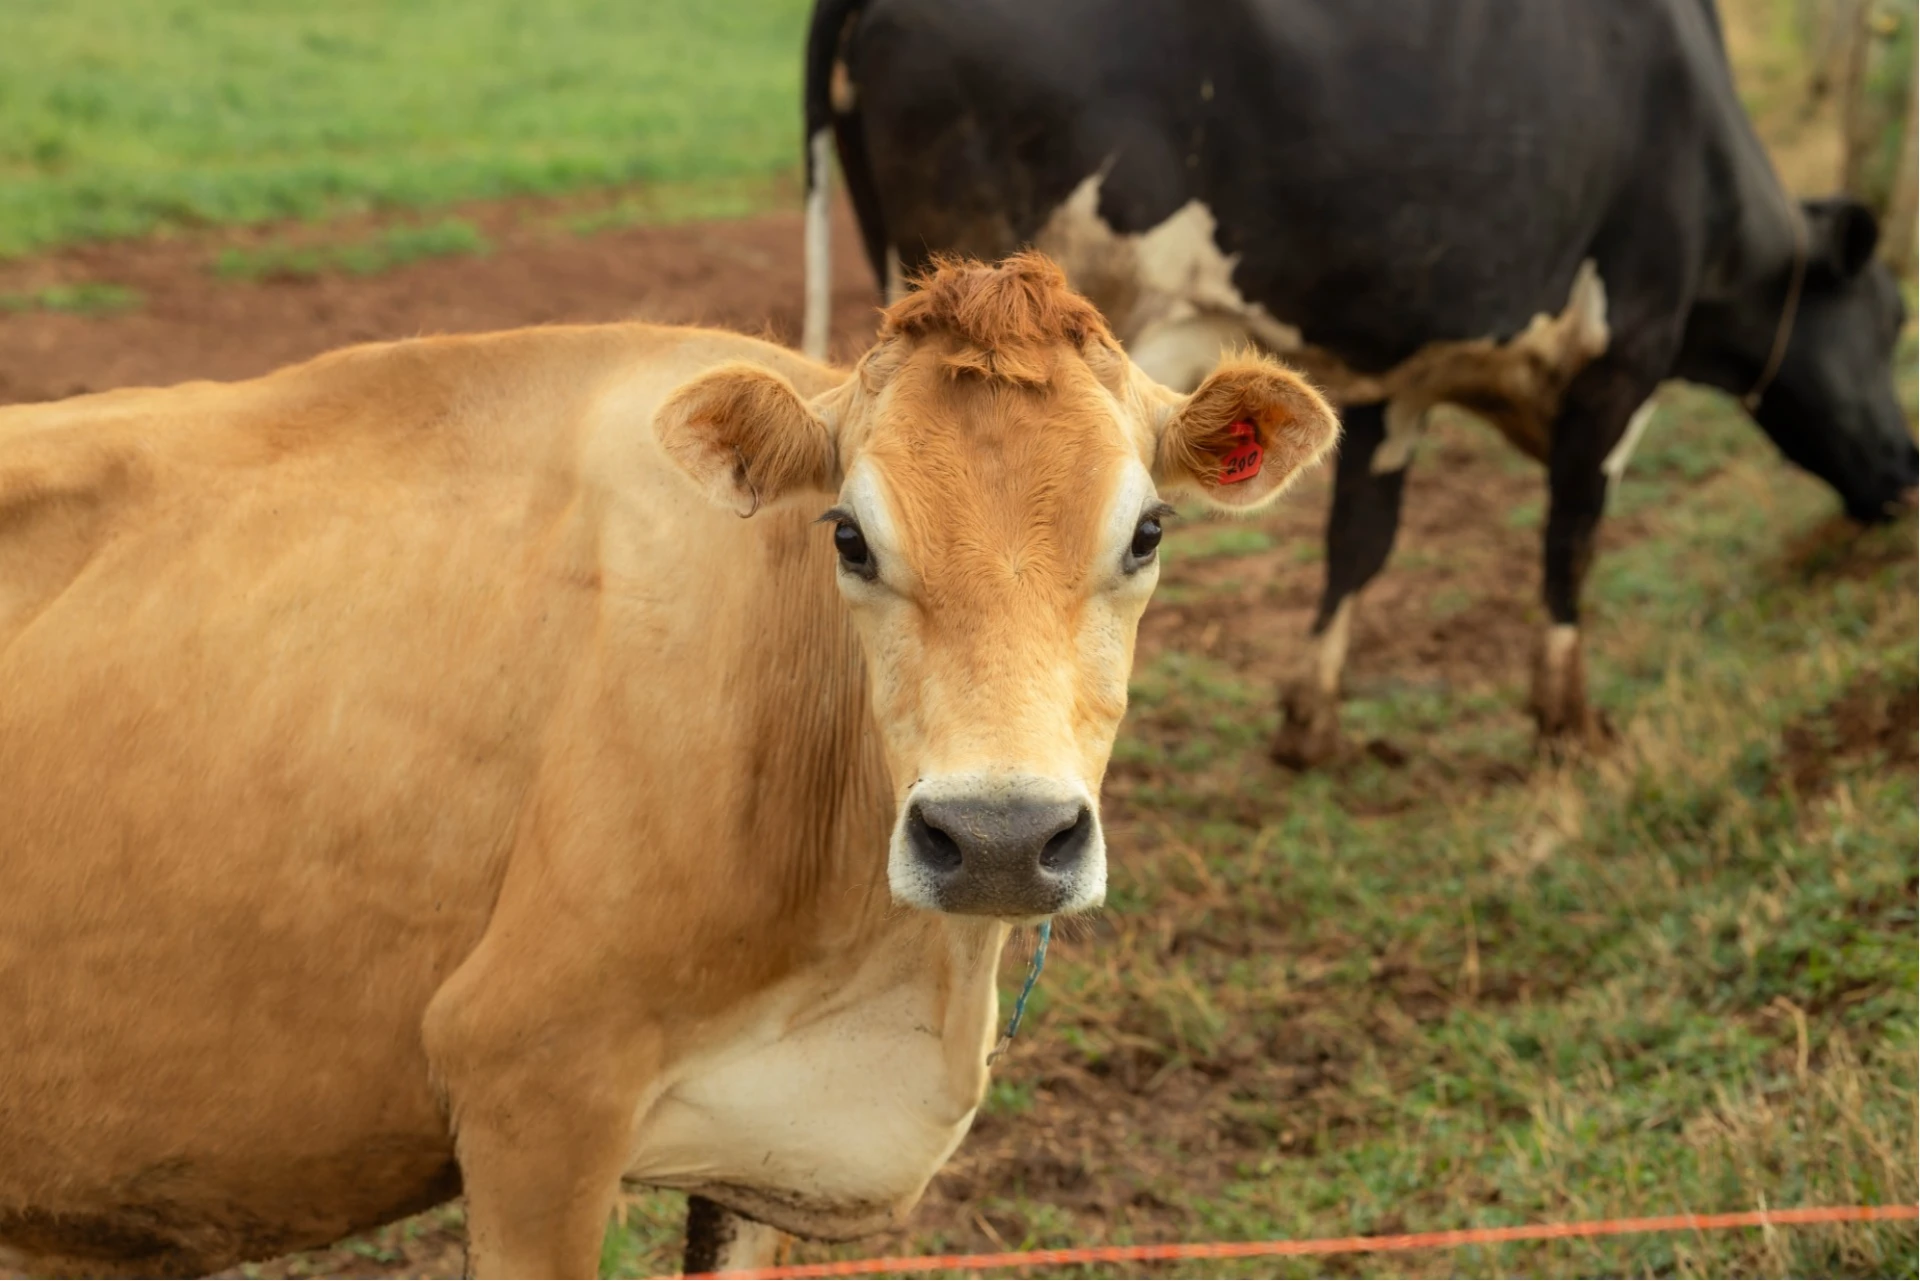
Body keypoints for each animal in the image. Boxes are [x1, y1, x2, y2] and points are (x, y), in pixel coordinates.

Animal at [801, 0, 1918, 766]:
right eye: (1893, 321)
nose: (1906, 471)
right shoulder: (1623, 358)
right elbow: (1572, 541)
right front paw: (1567, 721)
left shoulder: (1393, 378)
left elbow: (1359, 541)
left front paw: (1311, 720)